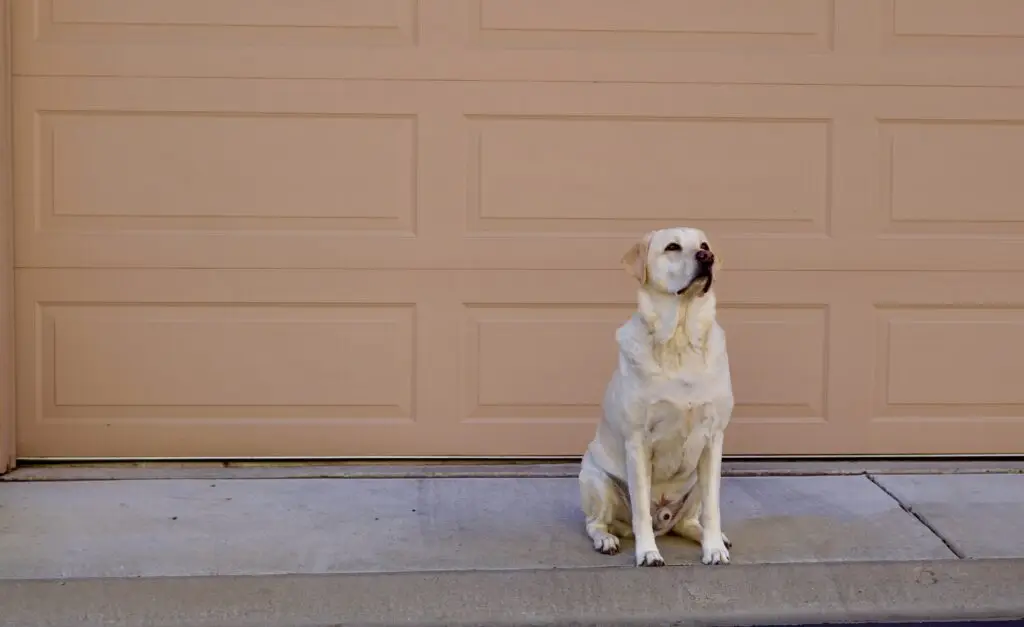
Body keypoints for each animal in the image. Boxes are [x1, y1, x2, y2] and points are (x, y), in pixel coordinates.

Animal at [577, 226, 737, 569]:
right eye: (673, 247)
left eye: (704, 245)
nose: (707, 257)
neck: (679, 339)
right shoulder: (638, 441)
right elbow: (639, 510)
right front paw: (648, 552)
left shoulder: (714, 439)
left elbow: (713, 508)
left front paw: (714, 548)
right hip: (597, 480)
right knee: (596, 523)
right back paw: (606, 540)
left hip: (695, 485)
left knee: (690, 520)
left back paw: (709, 536)